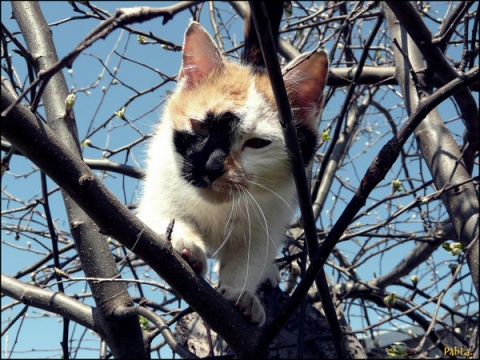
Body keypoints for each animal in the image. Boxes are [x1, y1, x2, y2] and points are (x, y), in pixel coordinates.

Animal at [137, 16, 328, 326]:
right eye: (200, 126)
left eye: (257, 143)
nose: (212, 167)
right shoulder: (159, 190)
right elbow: (163, 217)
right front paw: (183, 243)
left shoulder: (269, 221)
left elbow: (249, 259)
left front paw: (242, 296)